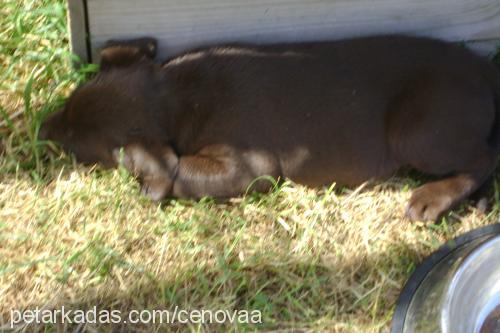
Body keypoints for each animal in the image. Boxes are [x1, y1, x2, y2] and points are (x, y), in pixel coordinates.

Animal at [40, 35, 500, 220]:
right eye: (68, 102)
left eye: (77, 146)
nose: (41, 128)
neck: (174, 94)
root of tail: (486, 69)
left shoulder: (250, 165)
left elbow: (180, 171)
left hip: (418, 132)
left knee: (485, 155)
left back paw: (431, 199)